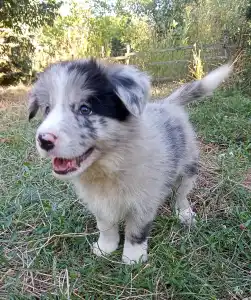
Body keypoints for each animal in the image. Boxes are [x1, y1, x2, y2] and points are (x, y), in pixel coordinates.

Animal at [28, 59, 232, 264]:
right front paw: (105, 248)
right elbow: (105, 226)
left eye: (85, 109)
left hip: (188, 167)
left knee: (181, 194)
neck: (110, 165)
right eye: (47, 109)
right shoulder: (99, 203)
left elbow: (136, 231)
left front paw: (133, 259)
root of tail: (166, 104)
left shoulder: (143, 202)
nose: (43, 140)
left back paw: (184, 214)